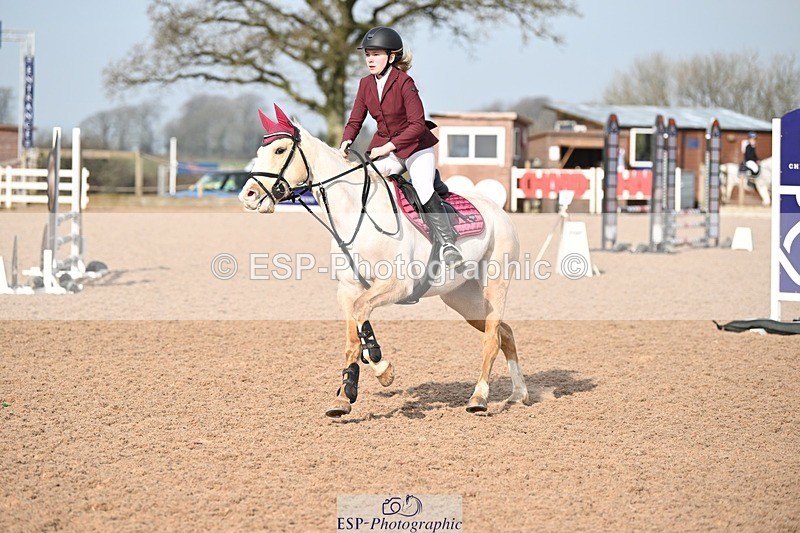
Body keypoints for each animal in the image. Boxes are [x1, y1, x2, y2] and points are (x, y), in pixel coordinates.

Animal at [238, 105, 528, 417]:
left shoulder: (398, 285)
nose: (248, 196)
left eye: (280, 150)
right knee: (504, 332)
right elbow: (354, 335)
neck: (356, 212)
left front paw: (381, 367)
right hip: (462, 298)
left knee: (492, 339)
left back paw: (479, 397)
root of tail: (499, 211)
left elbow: (362, 313)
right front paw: (345, 394)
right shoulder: (349, 289)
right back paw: (518, 394)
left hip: (495, 284)